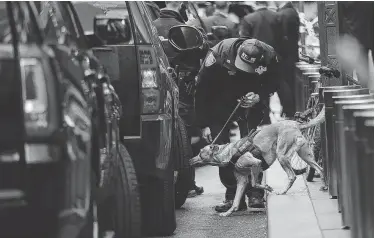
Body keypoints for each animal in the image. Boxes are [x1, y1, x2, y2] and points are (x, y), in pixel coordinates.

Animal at [191, 109, 326, 217]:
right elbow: (236, 200)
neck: (229, 153)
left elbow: (254, 183)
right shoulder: (241, 181)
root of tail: (296, 123)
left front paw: (267, 187)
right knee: (320, 169)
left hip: (282, 156)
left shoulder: (256, 163)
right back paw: (324, 186)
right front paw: (228, 212)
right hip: (305, 155)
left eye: (200, 152)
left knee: (292, 176)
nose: (190, 159)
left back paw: (283, 191)